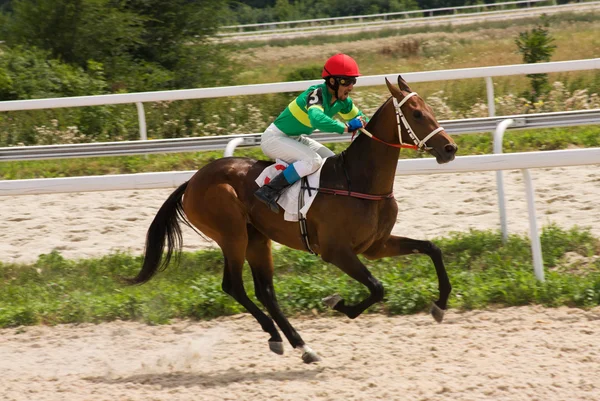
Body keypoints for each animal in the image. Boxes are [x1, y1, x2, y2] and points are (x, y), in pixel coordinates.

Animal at [129, 75, 458, 362]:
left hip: (257, 239)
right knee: (234, 286)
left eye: (430, 109)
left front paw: (440, 305)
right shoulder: (337, 251)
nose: (450, 148)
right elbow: (377, 287)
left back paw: (298, 345)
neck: (359, 182)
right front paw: (339, 303)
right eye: (416, 114)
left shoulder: (376, 246)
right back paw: (282, 337)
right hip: (232, 235)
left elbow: (431, 248)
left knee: (266, 292)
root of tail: (192, 181)